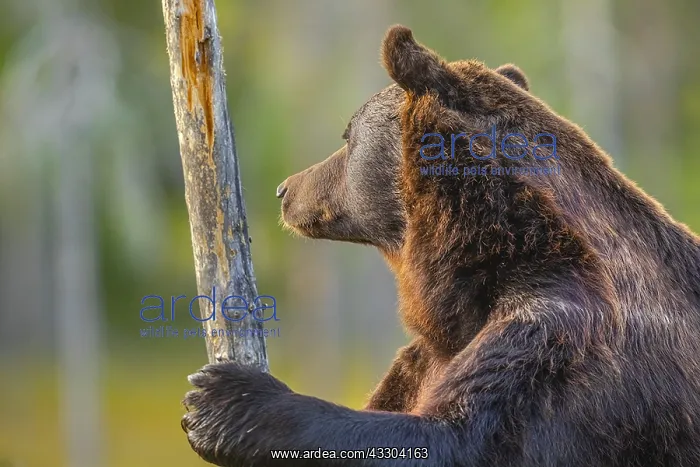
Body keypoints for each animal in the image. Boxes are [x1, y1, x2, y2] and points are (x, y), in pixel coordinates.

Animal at [181, 25, 700, 466]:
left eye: (347, 137)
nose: (286, 190)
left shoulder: (561, 339)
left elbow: (460, 437)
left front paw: (217, 397)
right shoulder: (430, 353)